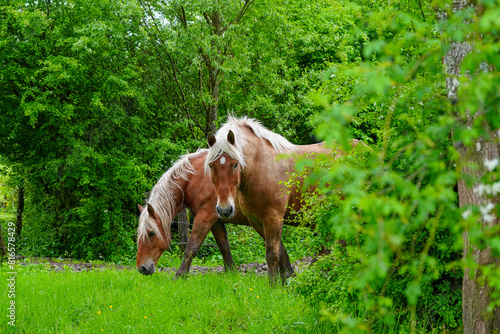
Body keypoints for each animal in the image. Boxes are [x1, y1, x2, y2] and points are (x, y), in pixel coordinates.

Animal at [135, 148, 294, 276]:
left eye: (151, 233)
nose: (141, 268)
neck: (195, 177)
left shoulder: (205, 217)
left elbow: (191, 248)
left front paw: (179, 276)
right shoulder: (216, 221)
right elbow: (224, 247)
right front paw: (233, 274)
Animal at [205, 116, 362, 284]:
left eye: (235, 164)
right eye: (212, 166)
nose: (224, 209)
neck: (260, 166)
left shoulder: (273, 217)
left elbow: (272, 254)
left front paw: (273, 285)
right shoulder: (257, 221)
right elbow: (281, 251)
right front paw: (286, 279)